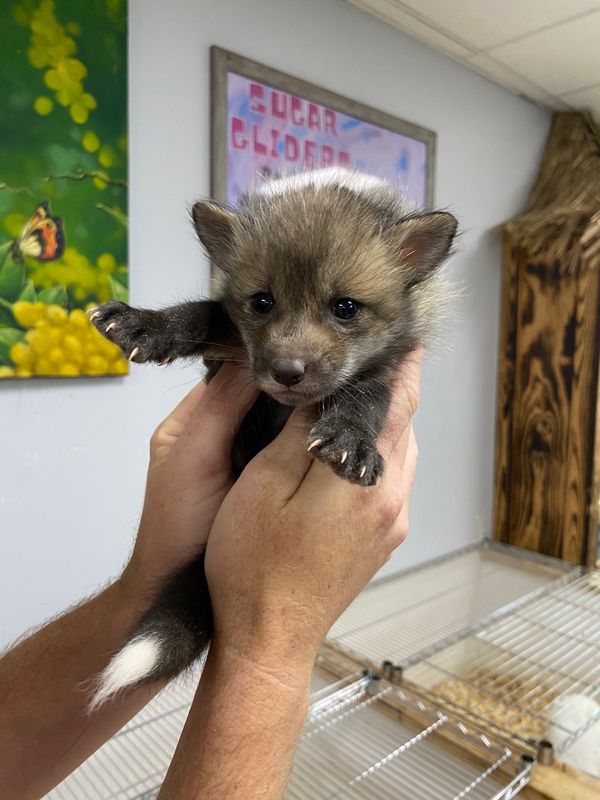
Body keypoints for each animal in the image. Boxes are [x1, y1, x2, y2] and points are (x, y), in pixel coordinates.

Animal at [88, 168, 457, 707]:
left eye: (346, 307)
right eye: (262, 302)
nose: (286, 371)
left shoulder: (386, 366)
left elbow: (365, 397)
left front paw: (351, 439)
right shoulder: (224, 335)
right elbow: (204, 311)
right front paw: (148, 324)